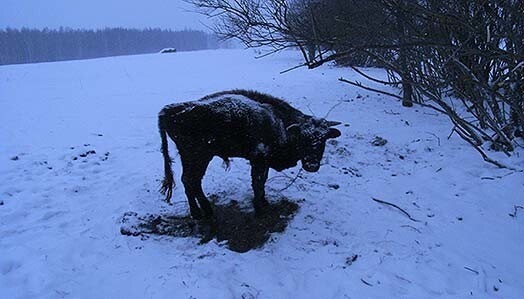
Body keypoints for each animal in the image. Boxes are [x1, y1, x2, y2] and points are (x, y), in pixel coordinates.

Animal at [158, 90, 342, 219]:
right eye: (303, 138)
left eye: (324, 139)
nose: (311, 164)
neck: (279, 123)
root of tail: (168, 110)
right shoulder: (258, 159)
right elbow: (257, 183)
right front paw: (259, 207)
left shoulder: (264, 162)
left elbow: (263, 181)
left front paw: (264, 202)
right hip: (199, 157)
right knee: (192, 181)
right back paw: (204, 212)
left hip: (189, 158)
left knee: (188, 181)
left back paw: (199, 212)